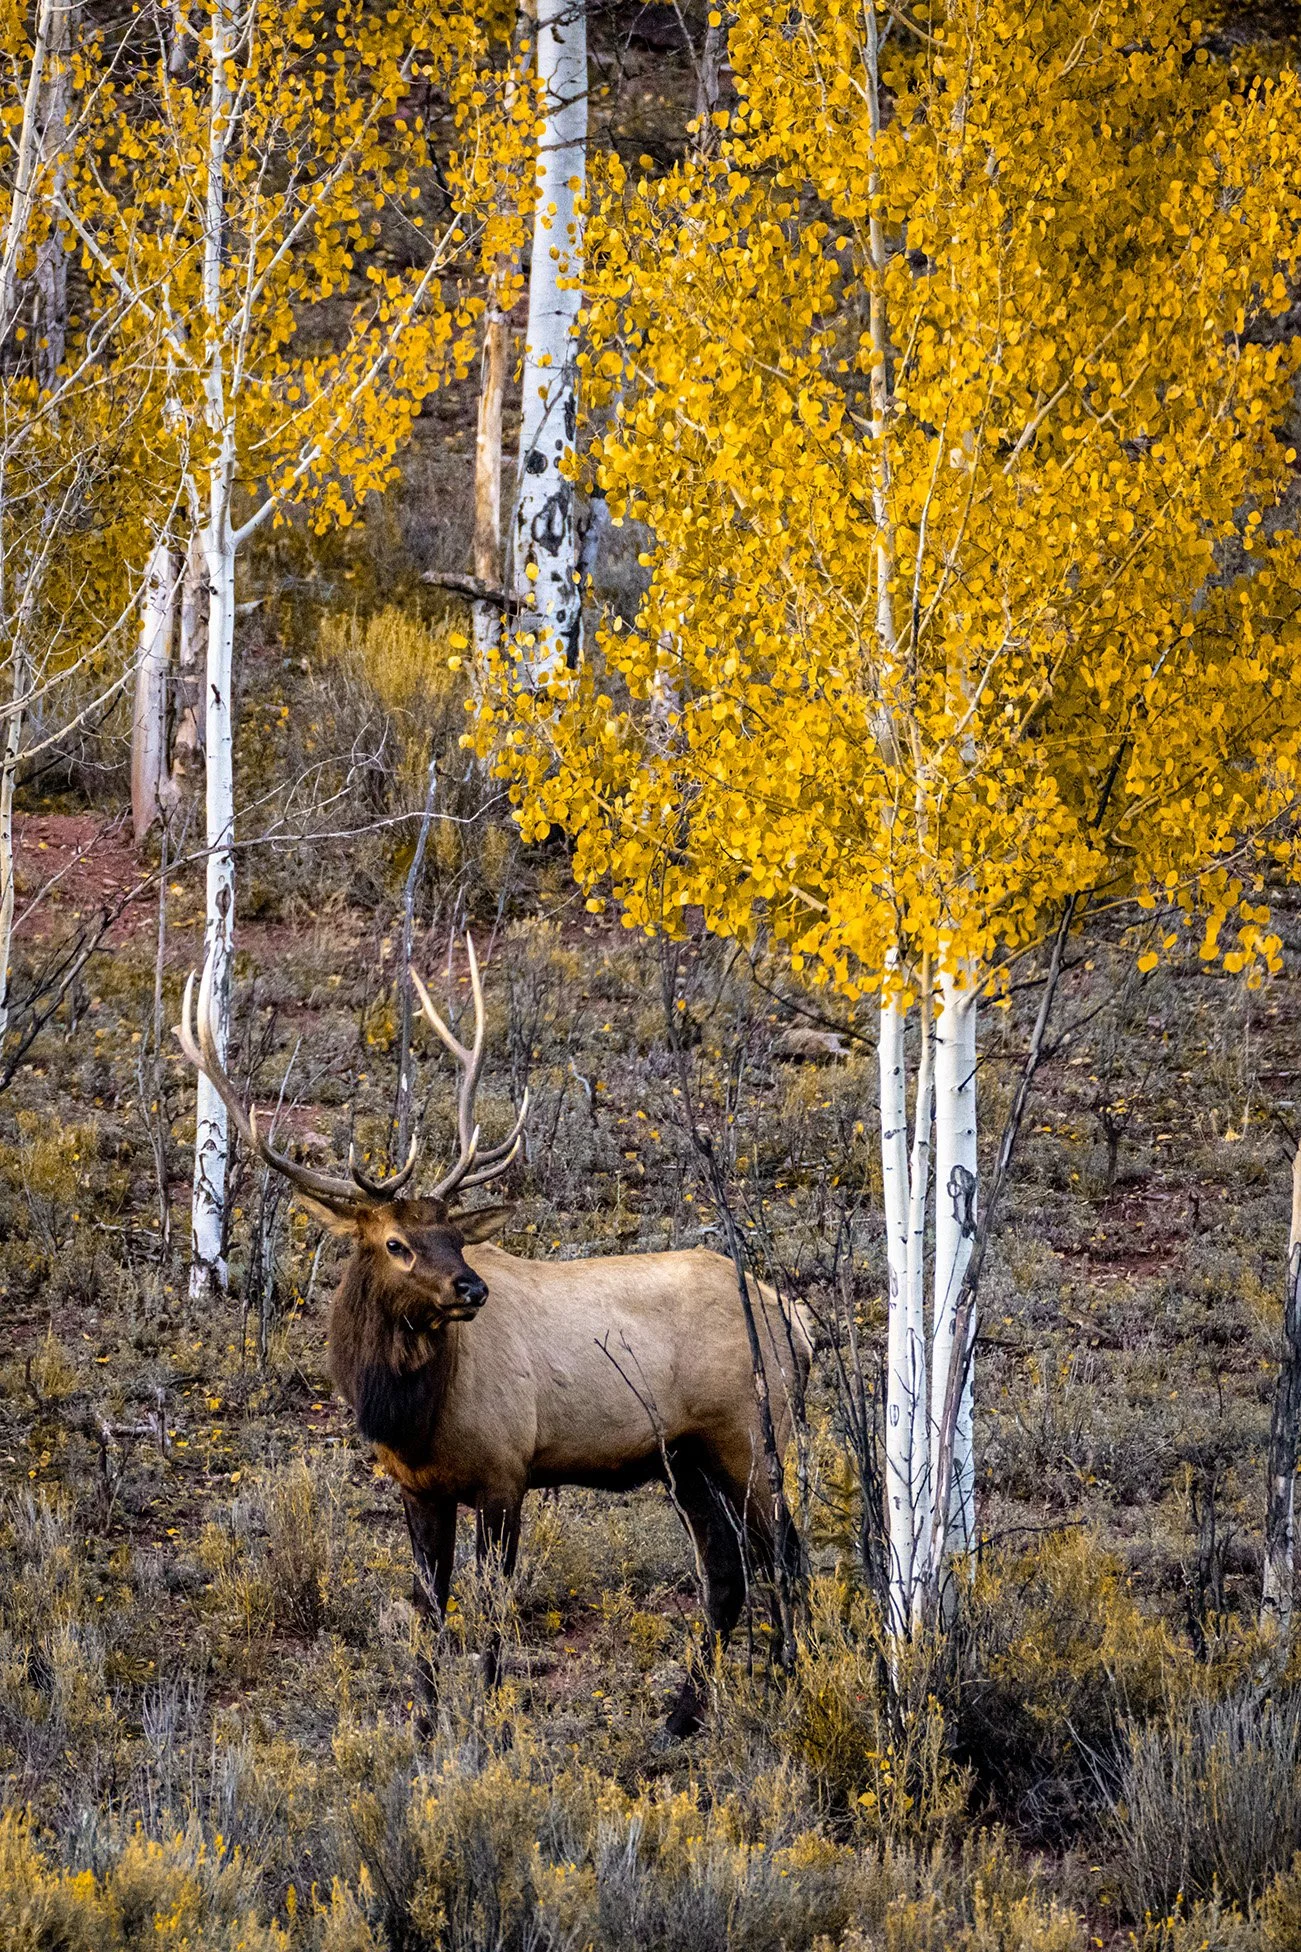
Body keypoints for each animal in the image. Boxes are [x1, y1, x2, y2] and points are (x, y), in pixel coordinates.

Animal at [177, 939, 811, 1736]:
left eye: (454, 1236)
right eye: (395, 1243)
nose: (472, 1290)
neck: (412, 1416)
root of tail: (799, 1321)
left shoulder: (507, 1473)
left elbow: (492, 1608)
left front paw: (489, 1718)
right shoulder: (416, 1487)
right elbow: (429, 1606)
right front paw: (423, 1722)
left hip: (752, 1431)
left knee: (787, 1555)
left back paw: (793, 1687)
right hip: (685, 1458)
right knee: (729, 1569)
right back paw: (682, 1714)